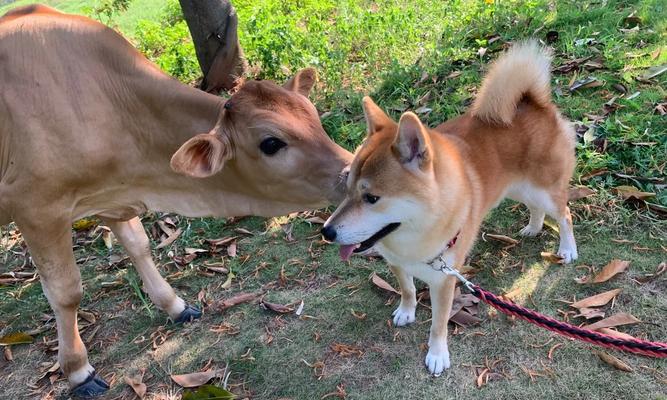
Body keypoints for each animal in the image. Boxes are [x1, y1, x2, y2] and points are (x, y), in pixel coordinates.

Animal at [320, 40, 576, 376]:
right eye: (347, 188)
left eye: (372, 198)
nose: (326, 231)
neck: (414, 237)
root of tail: (532, 101)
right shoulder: (397, 263)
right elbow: (408, 290)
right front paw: (406, 311)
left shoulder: (444, 280)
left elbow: (438, 324)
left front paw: (437, 354)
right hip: (519, 188)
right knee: (536, 208)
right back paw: (533, 227)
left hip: (544, 188)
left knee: (564, 213)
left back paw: (568, 248)